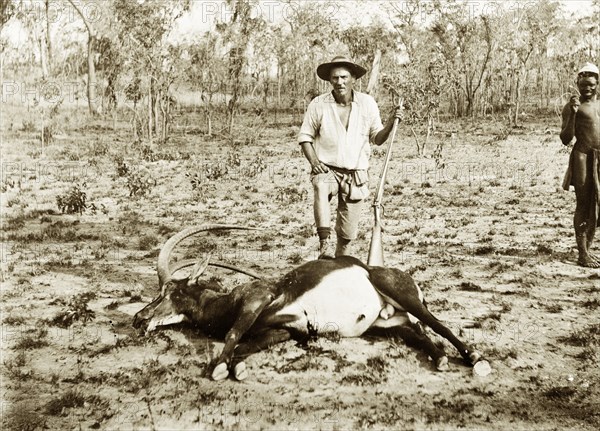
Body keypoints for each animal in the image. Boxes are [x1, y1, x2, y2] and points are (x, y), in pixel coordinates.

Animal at [134, 226, 480, 382]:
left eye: (168, 291)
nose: (138, 319)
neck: (225, 304)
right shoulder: (287, 329)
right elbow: (247, 344)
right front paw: (237, 366)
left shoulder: (257, 300)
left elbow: (233, 334)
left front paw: (220, 366)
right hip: (386, 324)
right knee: (416, 333)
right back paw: (440, 359)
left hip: (401, 295)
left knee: (439, 325)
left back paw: (475, 358)